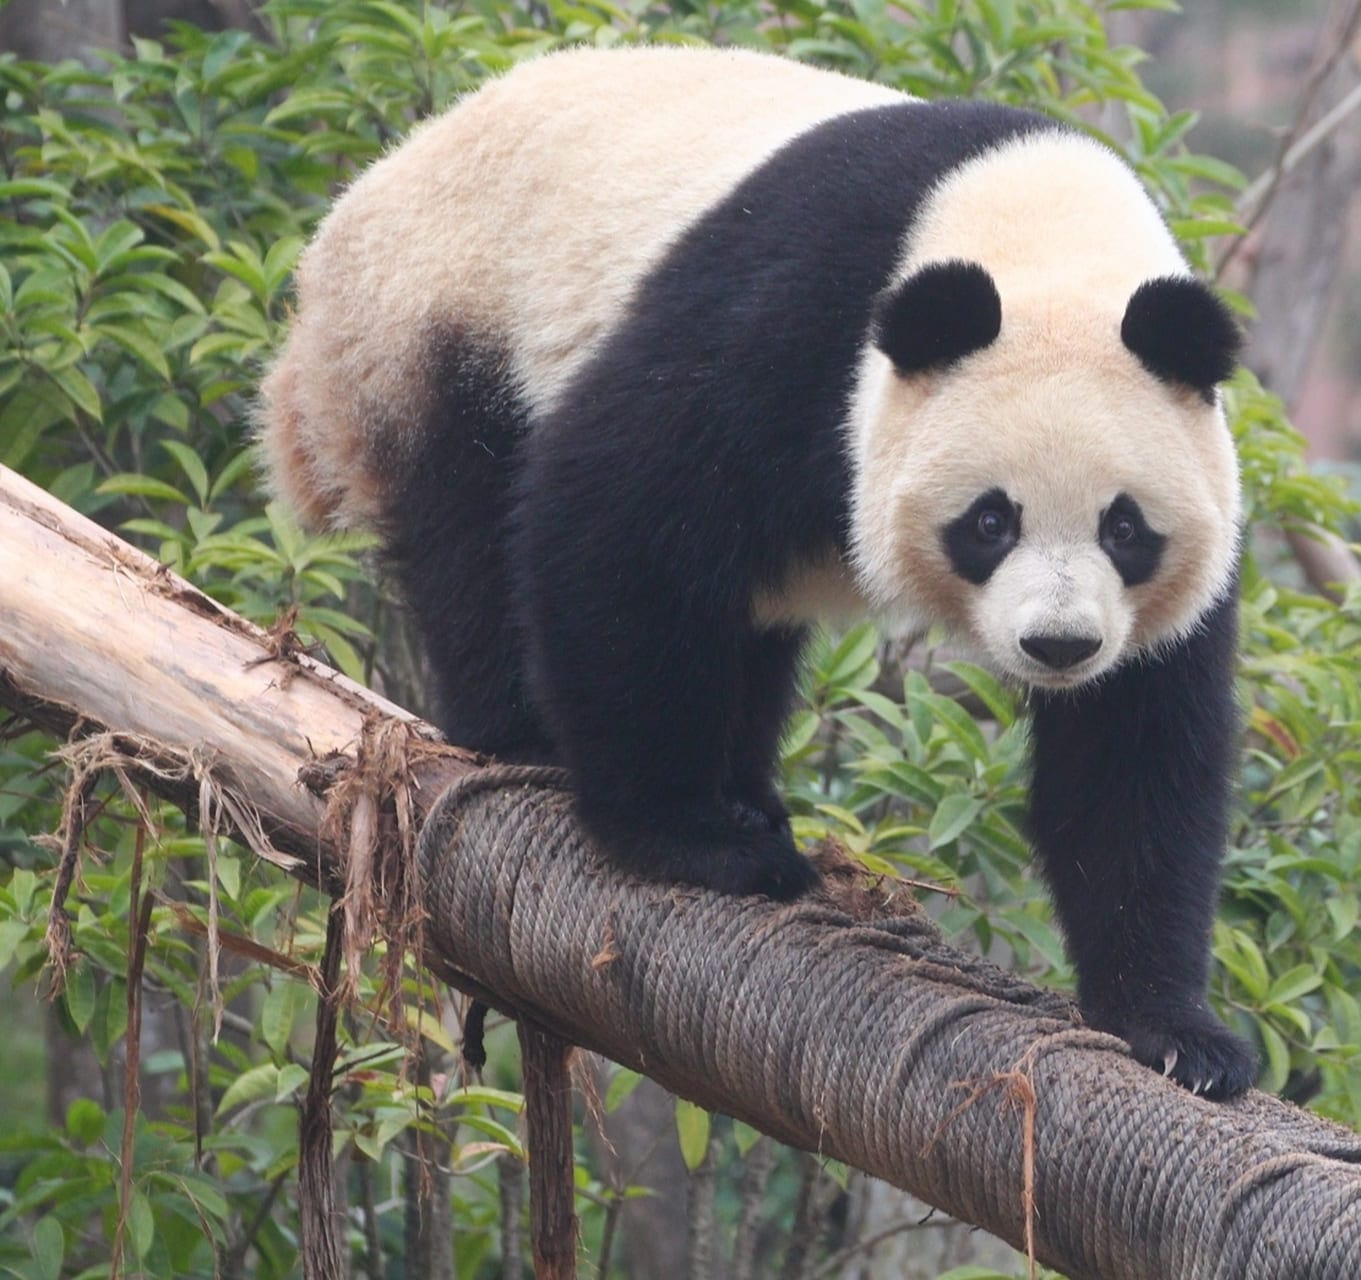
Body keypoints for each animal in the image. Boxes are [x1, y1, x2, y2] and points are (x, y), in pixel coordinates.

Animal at [260, 46, 1255, 1099]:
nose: (1058, 645)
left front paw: (1172, 1032)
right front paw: (693, 840)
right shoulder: (803, 313)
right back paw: (530, 734)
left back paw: (745, 785)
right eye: (989, 521)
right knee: (482, 525)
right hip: (448, 322)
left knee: (740, 620)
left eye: (1125, 529)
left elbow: (1134, 747)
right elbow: (618, 501)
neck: (1040, 231)